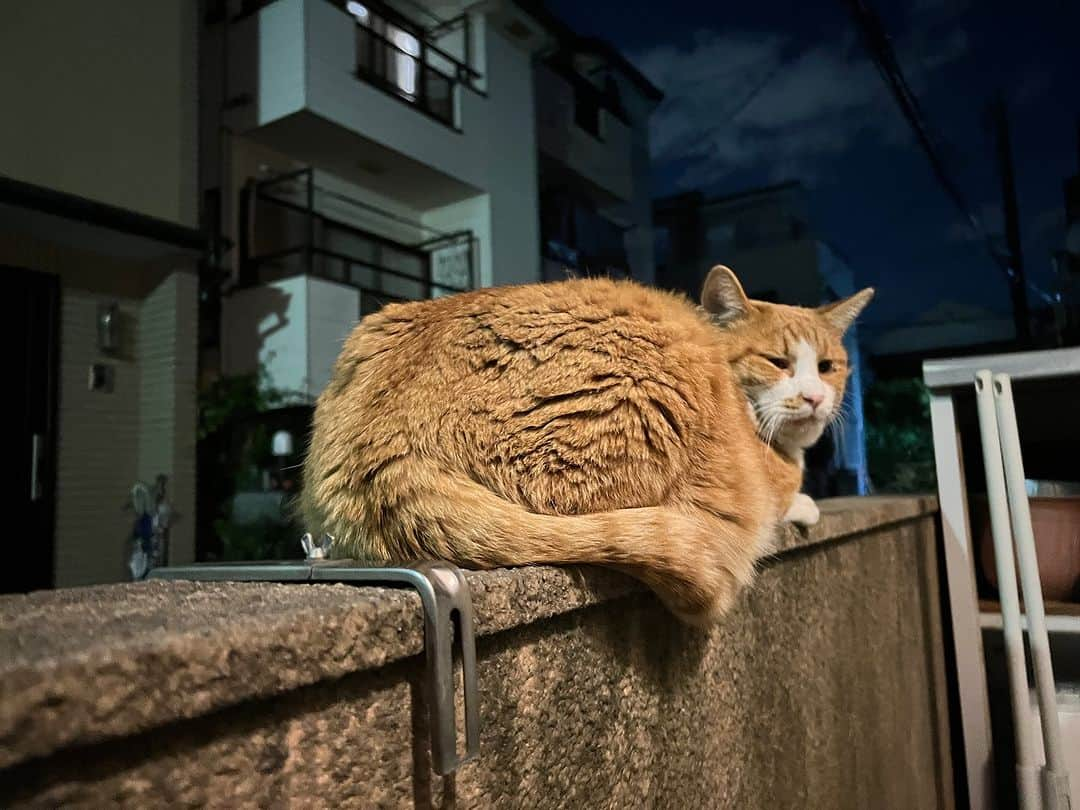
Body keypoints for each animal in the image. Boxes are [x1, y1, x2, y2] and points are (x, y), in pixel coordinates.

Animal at [300, 266, 872, 622]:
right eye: (778, 362)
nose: (816, 397)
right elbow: (788, 492)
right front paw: (805, 502)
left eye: (828, 366)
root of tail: (382, 445)